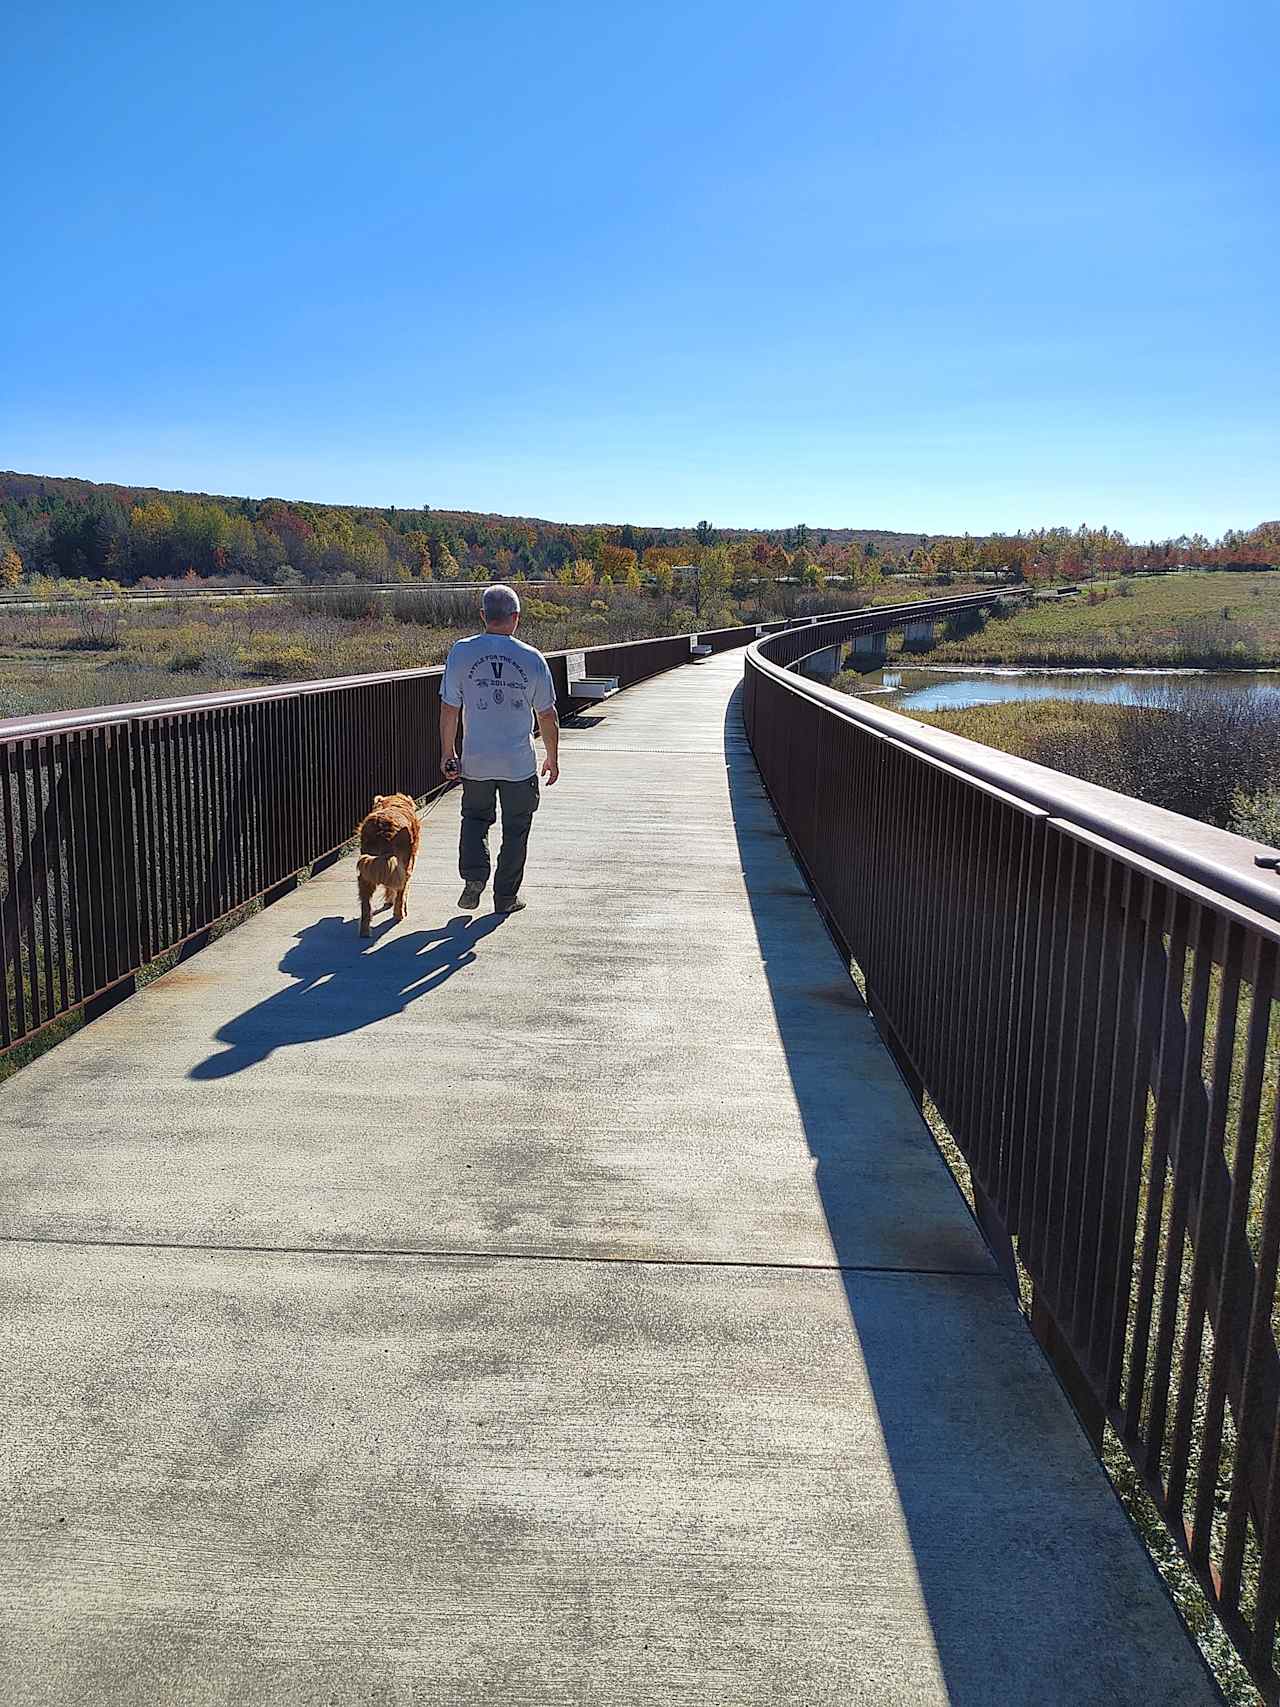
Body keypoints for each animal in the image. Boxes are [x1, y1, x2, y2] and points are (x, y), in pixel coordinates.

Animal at [356, 792, 421, 942]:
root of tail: (382, 826)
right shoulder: (407, 864)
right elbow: (402, 892)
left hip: (366, 870)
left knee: (366, 905)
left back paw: (364, 931)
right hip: (404, 866)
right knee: (401, 891)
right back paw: (399, 915)